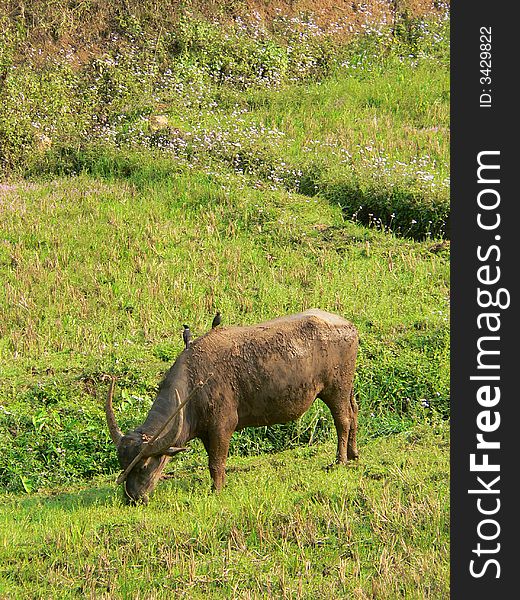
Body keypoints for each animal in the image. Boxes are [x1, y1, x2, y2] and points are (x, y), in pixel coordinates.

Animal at [105, 312, 358, 504]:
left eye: (144, 465)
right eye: (123, 463)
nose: (133, 498)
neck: (194, 382)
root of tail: (349, 327)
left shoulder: (221, 427)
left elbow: (216, 463)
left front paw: (216, 489)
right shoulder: (206, 432)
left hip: (336, 389)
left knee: (343, 420)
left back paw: (340, 460)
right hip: (347, 388)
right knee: (354, 413)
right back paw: (354, 454)